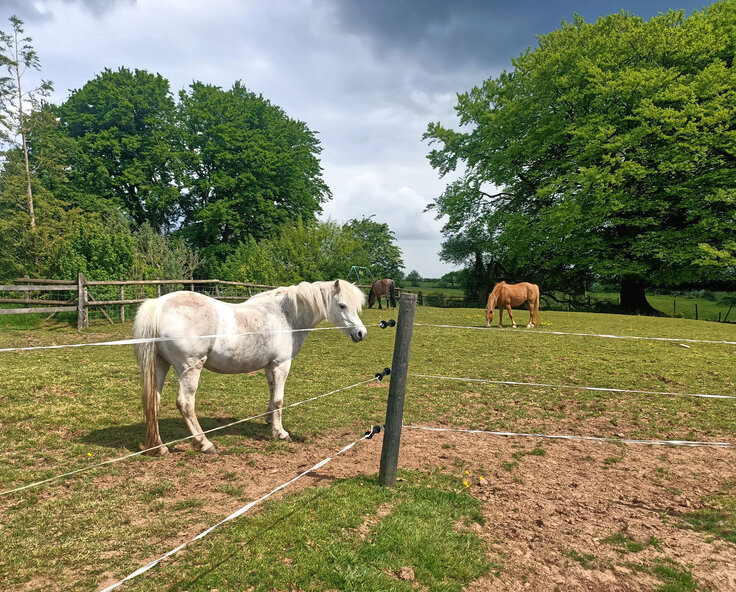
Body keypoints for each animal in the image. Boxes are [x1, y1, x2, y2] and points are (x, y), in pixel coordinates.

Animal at [133, 279, 367, 456]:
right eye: (343, 305)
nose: (361, 333)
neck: (286, 315)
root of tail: (158, 305)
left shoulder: (269, 366)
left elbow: (272, 394)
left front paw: (269, 421)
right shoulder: (281, 364)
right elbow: (279, 399)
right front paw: (281, 433)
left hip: (160, 365)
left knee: (153, 401)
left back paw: (159, 448)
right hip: (190, 368)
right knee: (185, 403)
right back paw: (204, 444)